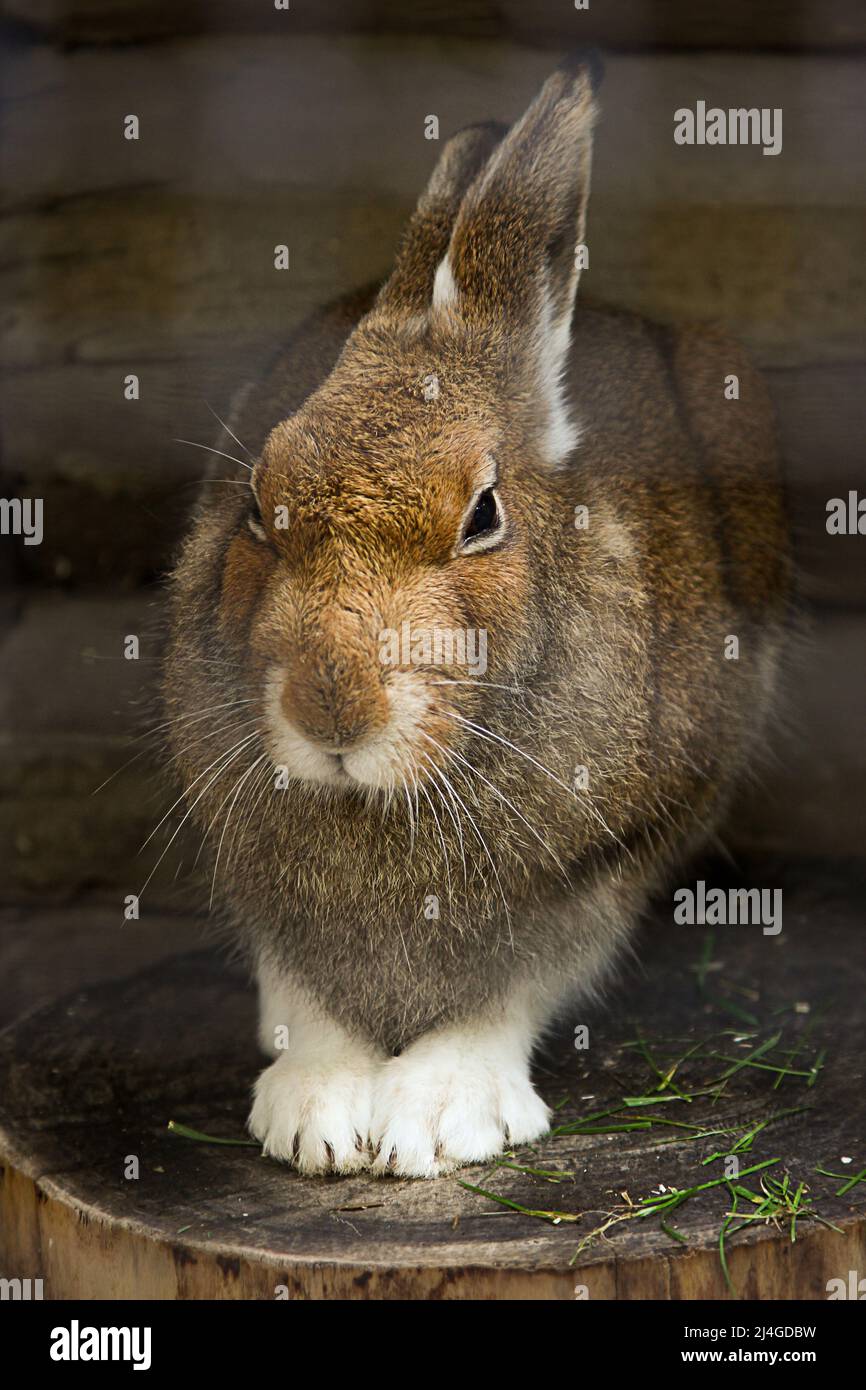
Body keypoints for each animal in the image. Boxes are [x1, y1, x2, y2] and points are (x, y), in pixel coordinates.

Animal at [162, 61, 791, 1178]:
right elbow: (302, 990)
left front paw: (437, 1120)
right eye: (256, 505)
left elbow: (509, 990)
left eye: (483, 515)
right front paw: (317, 1118)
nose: (333, 703)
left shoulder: (608, 857)